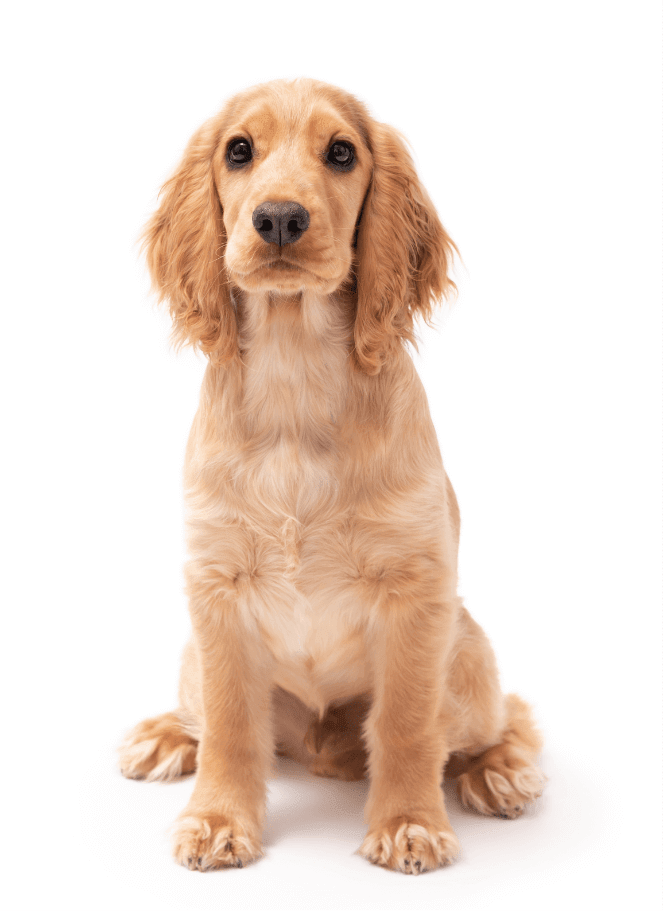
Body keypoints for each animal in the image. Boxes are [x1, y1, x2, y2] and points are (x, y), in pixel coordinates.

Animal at [120, 78, 544, 876]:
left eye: (341, 153)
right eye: (239, 151)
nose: (281, 218)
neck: (294, 375)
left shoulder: (415, 593)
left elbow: (407, 723)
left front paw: (408, 823)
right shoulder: (216, 590)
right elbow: (231, 724)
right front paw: (217, 818)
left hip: (467, 656)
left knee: (499, 719)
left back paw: (499, 769)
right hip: (194, 655)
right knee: (207, 714)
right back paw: (165, 733)